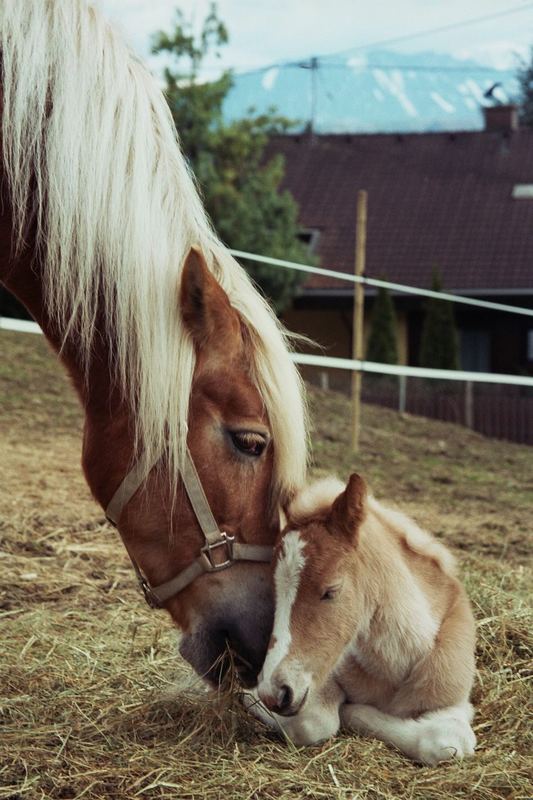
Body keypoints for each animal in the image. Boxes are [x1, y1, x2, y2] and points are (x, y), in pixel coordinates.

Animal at [251, 476, 476, 764]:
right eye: (273, 591)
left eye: (331, 590)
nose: (273, 693)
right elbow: (313, 723)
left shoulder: (455, 702)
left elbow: (447, 742)